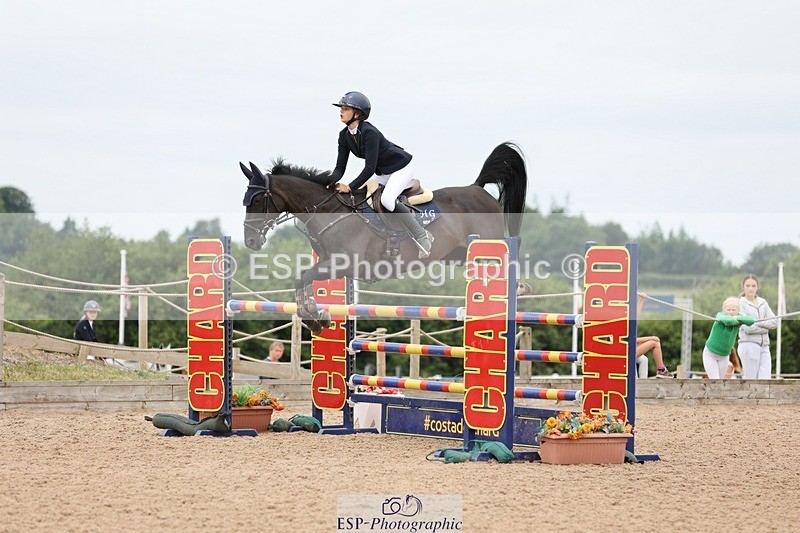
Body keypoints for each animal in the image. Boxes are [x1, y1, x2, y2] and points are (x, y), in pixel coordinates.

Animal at [240, 142, 527, 333]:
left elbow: (305, 276)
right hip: (457, 256)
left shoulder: (344, 264)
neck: (328, 210)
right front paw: (316, 316)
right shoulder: (328, 262)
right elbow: (302, 278)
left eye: (258, 199)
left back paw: (519, 289)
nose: (250, 242)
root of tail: (477, 189)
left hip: (486, 248)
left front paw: (313, 316)